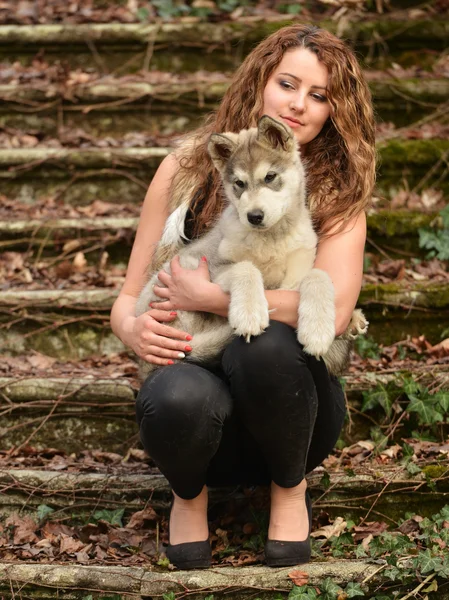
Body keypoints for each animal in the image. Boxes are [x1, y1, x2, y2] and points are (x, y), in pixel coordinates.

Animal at [136, 116, 368, 378]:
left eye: (270, 176)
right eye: (239, 183)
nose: (254, 216)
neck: (271, 239)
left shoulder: (296, 276)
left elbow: (319, 276)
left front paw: (317, 331)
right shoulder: (215, 268)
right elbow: (246, 268)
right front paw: (249, 314)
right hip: (181, 273)